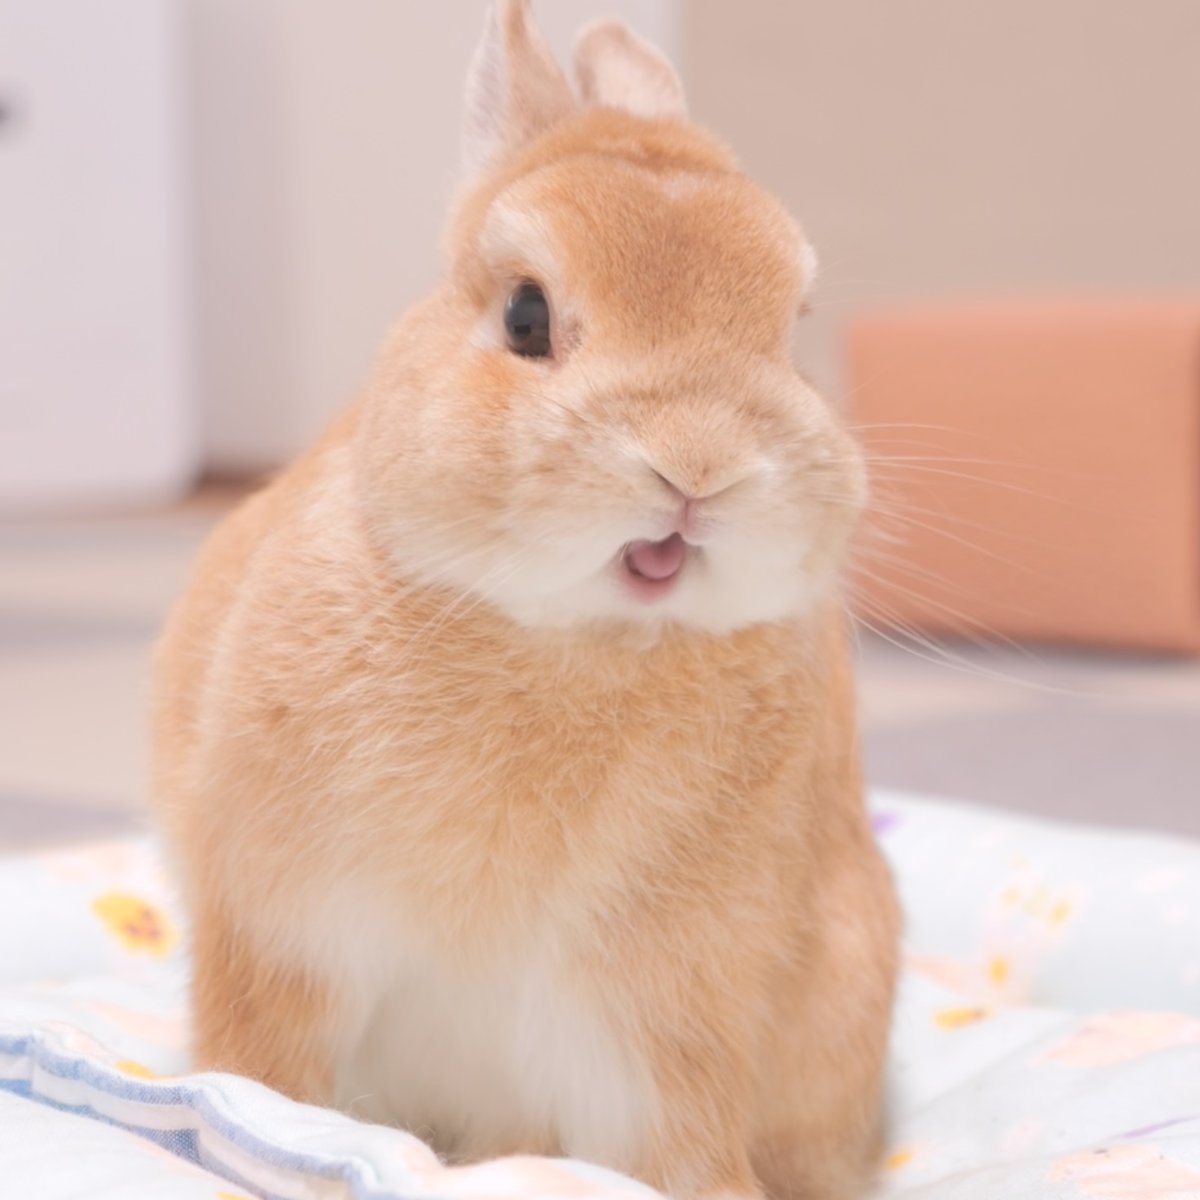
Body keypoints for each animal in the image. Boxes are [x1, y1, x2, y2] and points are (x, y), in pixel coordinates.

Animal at [151, 3, 900, 1198]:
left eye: (791, 332)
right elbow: (264, 1072)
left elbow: (674, 1141)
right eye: (525, 316)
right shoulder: (280, 932)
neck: (575, 640)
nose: (697, 466)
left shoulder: (662, 1004)